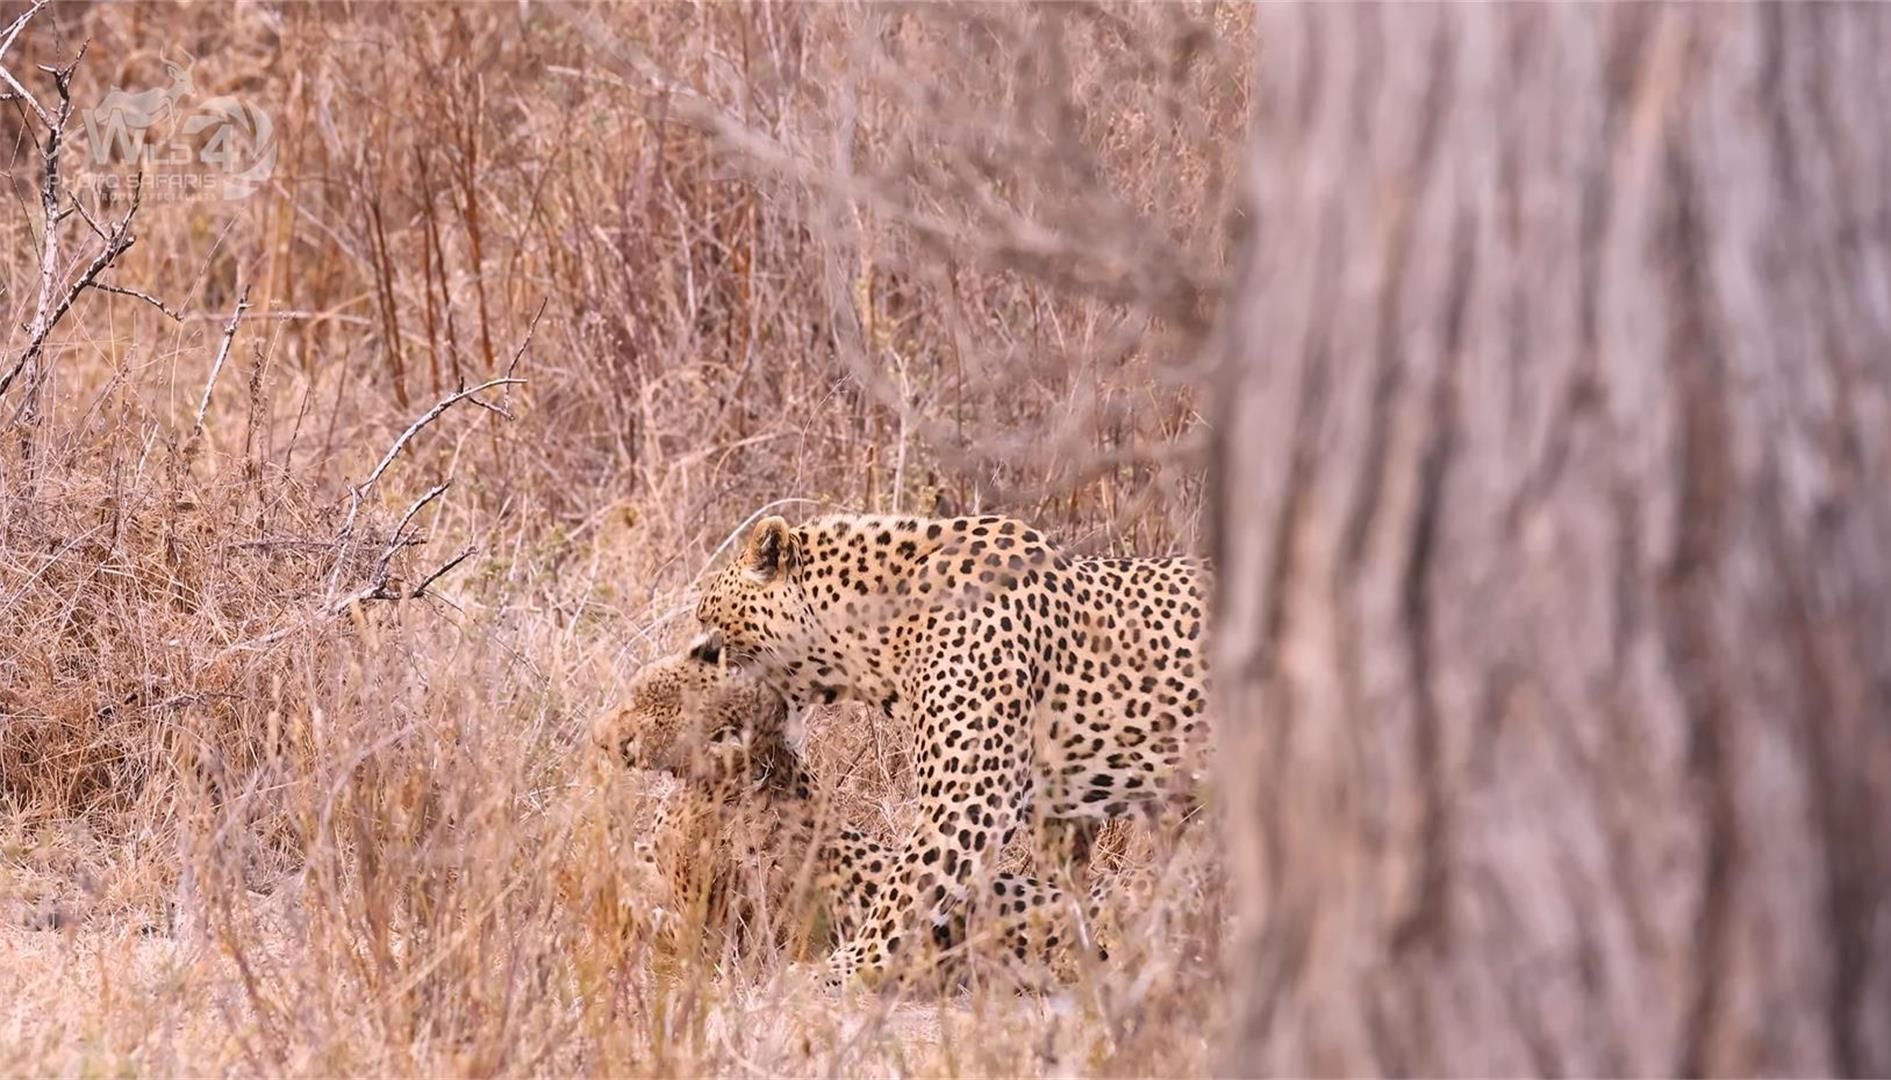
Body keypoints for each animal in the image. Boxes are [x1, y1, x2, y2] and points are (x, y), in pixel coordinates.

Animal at [589, 639, 1111, 991]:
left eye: (642, 709)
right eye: (632, 697)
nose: (599, 735)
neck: (751, 766)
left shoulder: (708, 936)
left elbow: (637, 904)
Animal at [695, 514, 1210, 991]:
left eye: (705, 617)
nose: (691, 651)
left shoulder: (969, 799)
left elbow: (905, 891)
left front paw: (845, 968)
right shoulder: (1061, 816)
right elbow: (1065, 896)